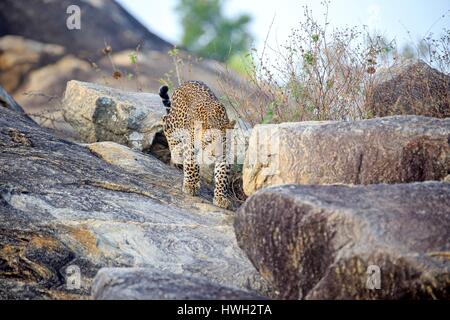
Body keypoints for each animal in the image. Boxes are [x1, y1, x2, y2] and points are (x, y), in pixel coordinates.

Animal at [158, 81, 236, 209]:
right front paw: (191, 186)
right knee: (165, 121)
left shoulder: (225, 154)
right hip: (176, 122)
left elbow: (222, 176)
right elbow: (192, 165)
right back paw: (176, 154)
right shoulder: (190, 143)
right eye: (209, 140)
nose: (215, 155)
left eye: (223, 142)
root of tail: (185, 83)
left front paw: (221, 198)